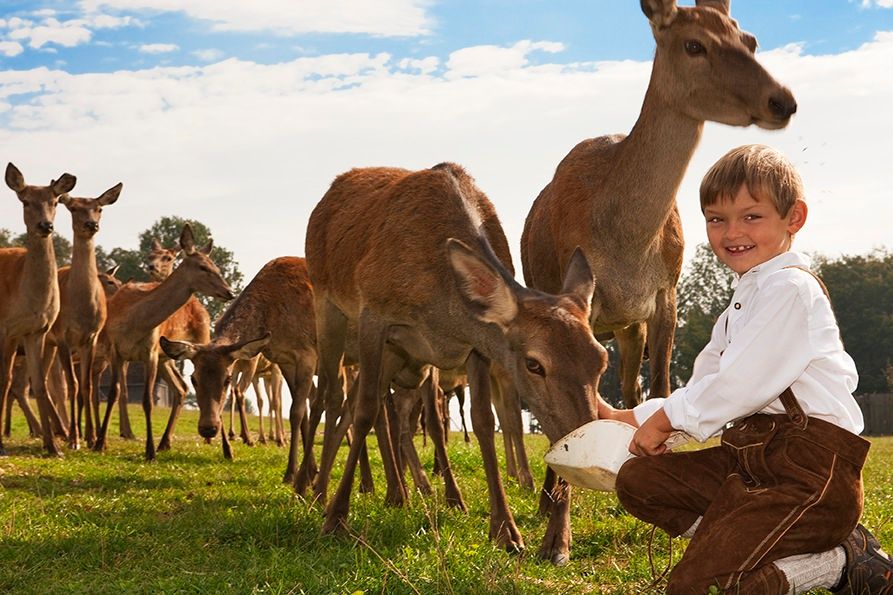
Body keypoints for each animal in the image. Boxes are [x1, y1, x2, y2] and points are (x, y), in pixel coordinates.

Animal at [0, 163, 77, 456]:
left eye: (54, 201)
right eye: (25, 201)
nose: (46, 225)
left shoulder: (37, 331)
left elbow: (40, 383)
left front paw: (53, 446)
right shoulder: (6, 328)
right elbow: (5, 380)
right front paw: (0, 443)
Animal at [43, 183, 123, 450]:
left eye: (99, 208)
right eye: (74, 208)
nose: (91, 224)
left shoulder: (91, 338)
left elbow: (86, 387)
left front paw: (92, 438)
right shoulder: (64, 337)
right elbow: (74, 385)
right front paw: (75, 439)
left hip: (49, 344)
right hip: (46, 339)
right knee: (53, 384)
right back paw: (61, 432)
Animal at [93, 224, 234, 460]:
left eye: (215, 265)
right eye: (203, 267)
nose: (230, 291)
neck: (134, 321)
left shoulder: (150, 351)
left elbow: (147, 400)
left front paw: (149, 451)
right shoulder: (116, 351)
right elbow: (114, 393)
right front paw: (99, 443)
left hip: (200, 339)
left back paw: (225, 448)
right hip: (166, 358)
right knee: (181, 388)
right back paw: (165, 442)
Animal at [305, 162, 606, 557]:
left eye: (600, 360)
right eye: (534, 364)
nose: (589, 445)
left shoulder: (474, 348)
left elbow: (483, 421)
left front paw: (511, 531)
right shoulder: (374, 315)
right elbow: (366, 410)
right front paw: (336, 519)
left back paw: (394, 493)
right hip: (328, 309)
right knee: (330, 397)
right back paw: (314, 490)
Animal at [519, 0, 797, 562]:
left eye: (750, 39)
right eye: (693, 44)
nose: (782, 100)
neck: (625, 243)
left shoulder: (665, 295)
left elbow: (662, 386)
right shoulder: (573, 299)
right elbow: (566, 409)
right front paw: (556, 542)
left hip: (631, 328)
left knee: (629, 388)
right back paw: (545, 500)